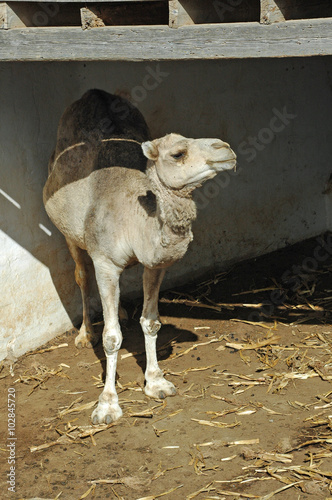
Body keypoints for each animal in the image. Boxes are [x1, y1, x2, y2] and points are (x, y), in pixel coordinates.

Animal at [43, 88, 236, 424]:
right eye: (178, 153)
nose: (225, 148)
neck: (136, 215)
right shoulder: (105, 263)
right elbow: (112, 338)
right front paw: (107, 405)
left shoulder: (155, 265)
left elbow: (151, 322)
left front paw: (157, 382)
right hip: (68, 232)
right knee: (81, 275)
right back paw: (85, 334)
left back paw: (118, 312)